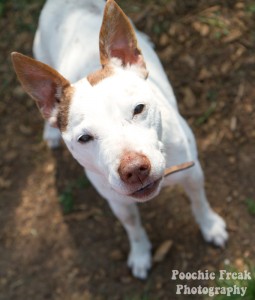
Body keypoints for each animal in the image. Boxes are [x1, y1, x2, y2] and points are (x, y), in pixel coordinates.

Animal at [10, 0, 228, 278]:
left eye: (138, 109)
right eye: (84, 138)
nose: (134, 170)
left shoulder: (192, 173)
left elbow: (199, 201)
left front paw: (210, 226)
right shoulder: (117, 201)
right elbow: (132, 225)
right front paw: (140, 252)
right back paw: (49, 132)